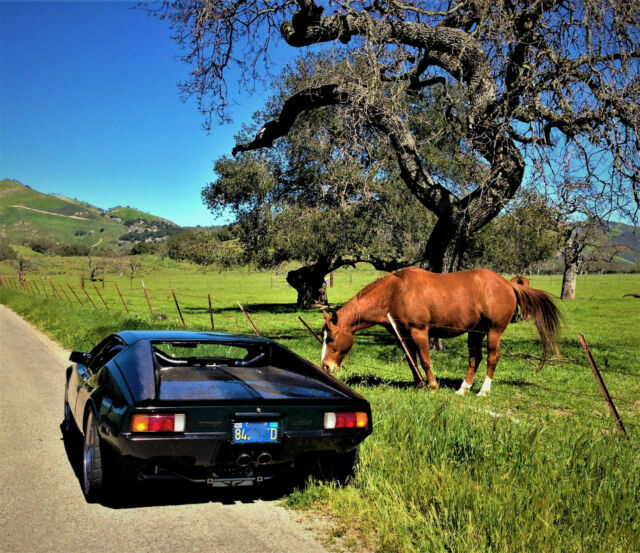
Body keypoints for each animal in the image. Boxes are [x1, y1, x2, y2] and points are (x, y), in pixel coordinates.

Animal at [320, 268, 560, 394]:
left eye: (330, 338)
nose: (326, 366)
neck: (395, 292)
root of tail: (509, 285)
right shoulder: (403, 335)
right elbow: (412, 361)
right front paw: (419, 383)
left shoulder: (419, 332)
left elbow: (425, 360)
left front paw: (433, 385)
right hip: (475, 332)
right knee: (475, 359)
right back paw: (464, 388)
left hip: (494, 331)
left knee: (492, 358)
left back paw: (483, 390)